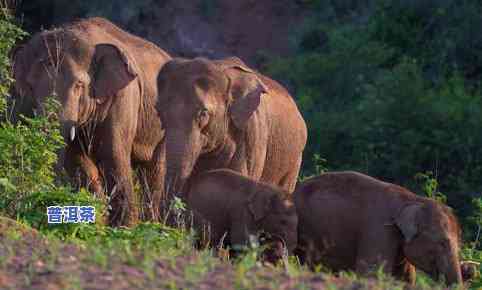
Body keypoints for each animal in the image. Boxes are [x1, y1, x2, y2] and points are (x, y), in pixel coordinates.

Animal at [10, 17, 173, 227]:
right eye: (30, 86)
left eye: (79, 85)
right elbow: (77, 158)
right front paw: (97, 219)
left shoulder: (124, 96)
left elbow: (112, 154)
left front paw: (124, 227)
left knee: (154, 170)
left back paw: (152, 225)